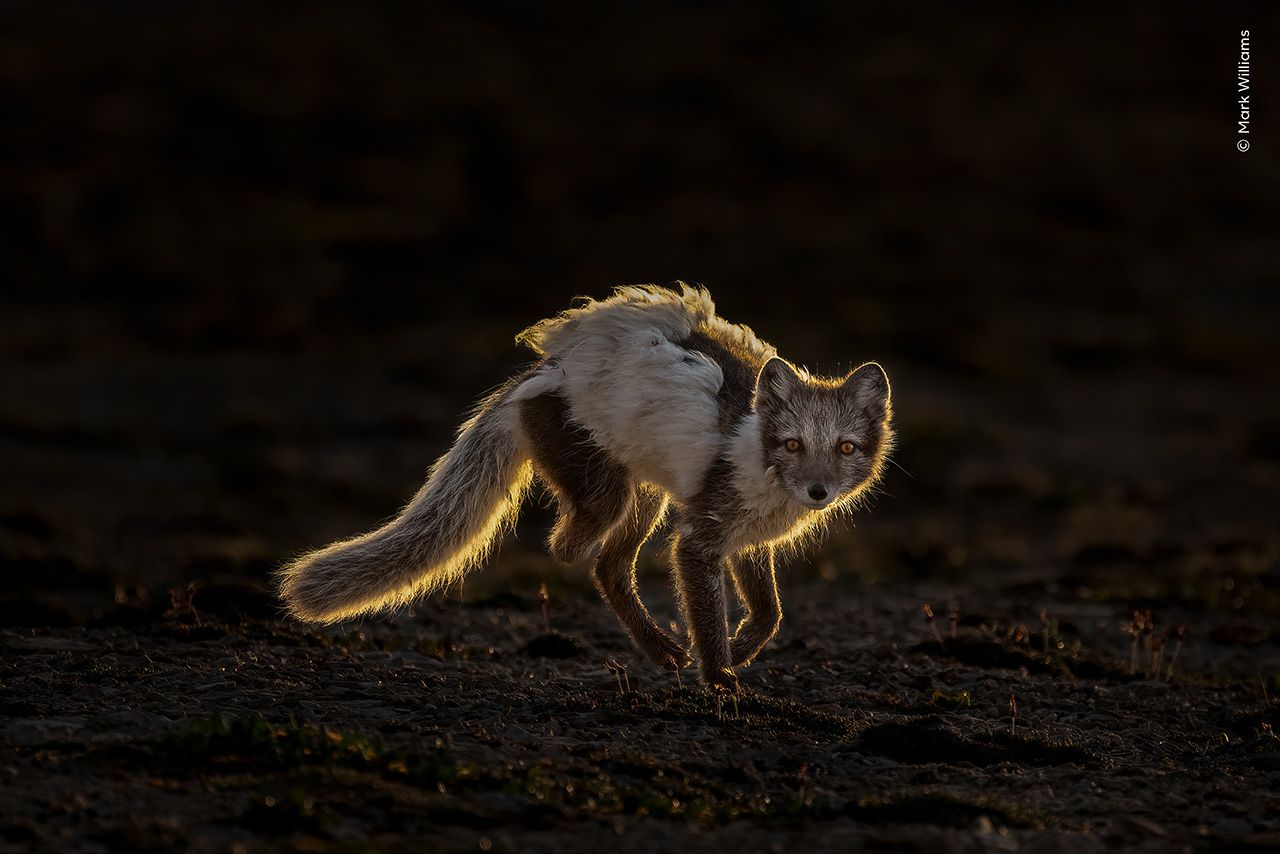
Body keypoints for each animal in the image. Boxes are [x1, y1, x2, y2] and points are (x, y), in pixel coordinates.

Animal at [278, 284, 893, 691]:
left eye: (845, 448)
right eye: (792, 444)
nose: (817, 492)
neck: (758, 460)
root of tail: (546, 370)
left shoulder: (745, 540)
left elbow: (769, 613)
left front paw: (739, 649)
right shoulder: (699, 538)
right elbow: (709, 610)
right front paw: (719, 676)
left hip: (644, 497)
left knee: (608, 566)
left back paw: (660, 649)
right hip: (611, 494)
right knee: (572, 547)